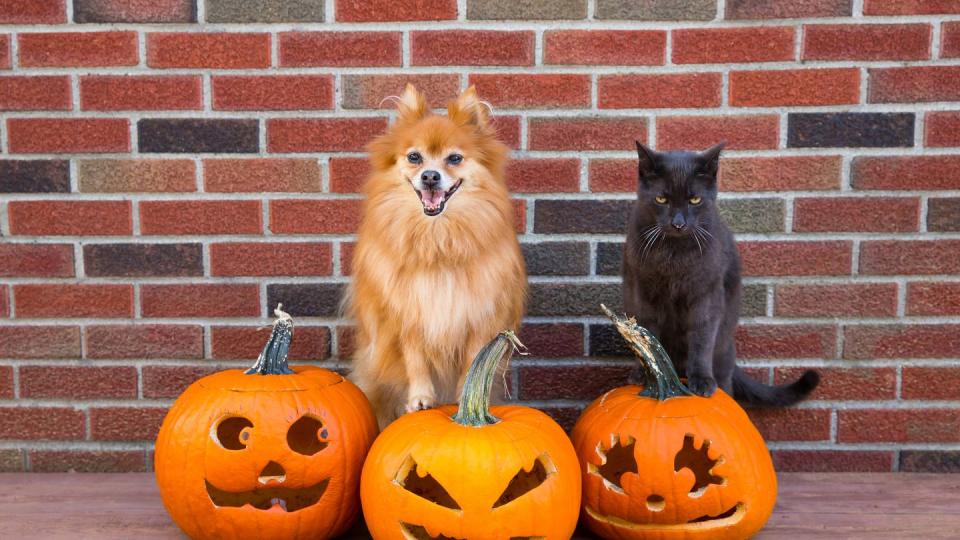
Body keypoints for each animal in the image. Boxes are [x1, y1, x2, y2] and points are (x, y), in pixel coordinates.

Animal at [344, 84, 524, 428]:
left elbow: (473, 361)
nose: (429, 176)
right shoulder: (407, 313)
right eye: (414, 157)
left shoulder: (477, 315)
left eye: (454, 158)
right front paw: (420, 399)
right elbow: (415, 359)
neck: (437, 238)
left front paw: (465, 399)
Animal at [624, 141, 816, 408]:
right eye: (661, 199)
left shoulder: (707, 294)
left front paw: (702, 380)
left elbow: (702, 336)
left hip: (723, 356)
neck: (674, 256)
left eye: (695, 199)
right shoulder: (644, 292)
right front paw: (644, 372)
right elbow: (647, 333)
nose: (678, 224)